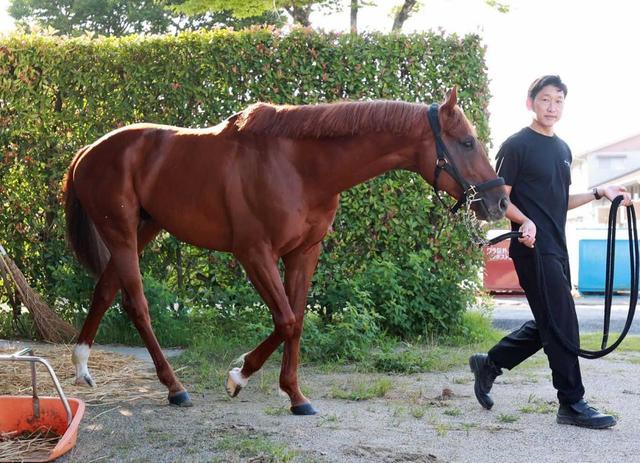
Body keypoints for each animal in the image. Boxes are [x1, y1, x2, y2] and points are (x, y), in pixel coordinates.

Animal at [62, 89, 508, 416]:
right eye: (467, 142)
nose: (500, 202)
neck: (298, 164)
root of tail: (87, 151)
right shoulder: (254, 253)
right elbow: (287, 320)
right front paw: (239, 377)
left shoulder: (304, 253)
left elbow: (297, 321)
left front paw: (295, 396)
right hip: (121, 234)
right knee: (136, 305)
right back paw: (174, 387)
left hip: (144, 229)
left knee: (104, 291)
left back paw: (82, 366)